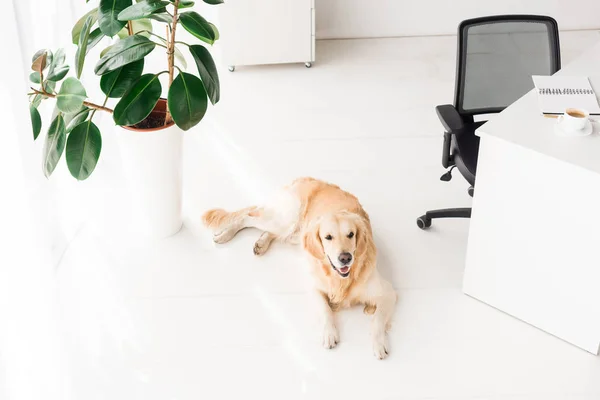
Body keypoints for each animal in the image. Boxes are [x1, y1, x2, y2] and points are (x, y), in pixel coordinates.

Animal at [203, 177, 398, 358]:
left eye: (351, 234)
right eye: (328, 237)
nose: (345, 258)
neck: (340, 279)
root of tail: (303, 179)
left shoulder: (388, 293)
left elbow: (377, 320)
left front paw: (379, 344)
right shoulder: (314, 288)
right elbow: (326, 310)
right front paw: (329, 334)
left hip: (295, 233)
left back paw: (261, 243)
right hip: (285, 221)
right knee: (248, 216)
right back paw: (225, 235)